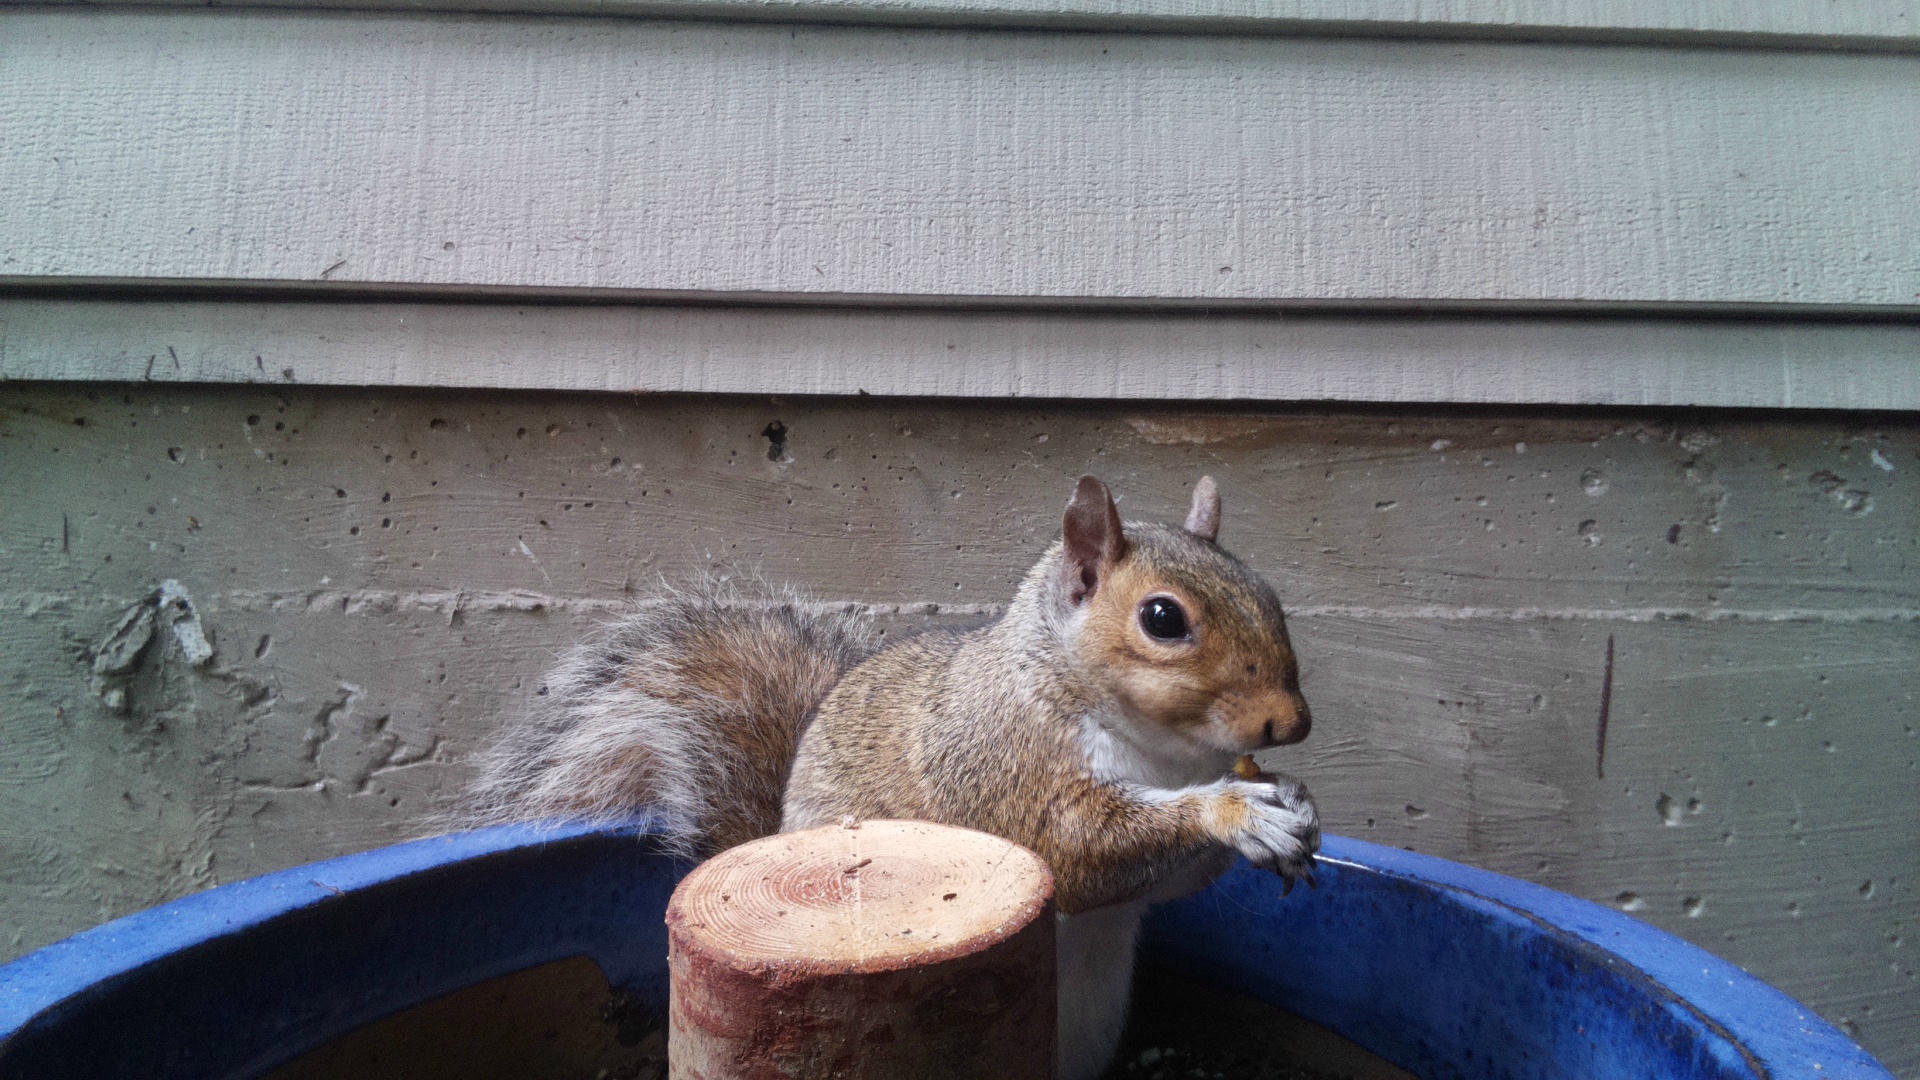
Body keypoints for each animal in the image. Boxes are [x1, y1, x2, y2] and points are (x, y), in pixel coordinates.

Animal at [463, 474, 1320, 1080]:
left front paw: (1293, 804)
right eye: (1163, 619)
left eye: (1271, 594)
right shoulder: (1002, 766)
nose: (1291, 723)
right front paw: (1237, 812)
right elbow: (1078, 853)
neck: (1166, 754)